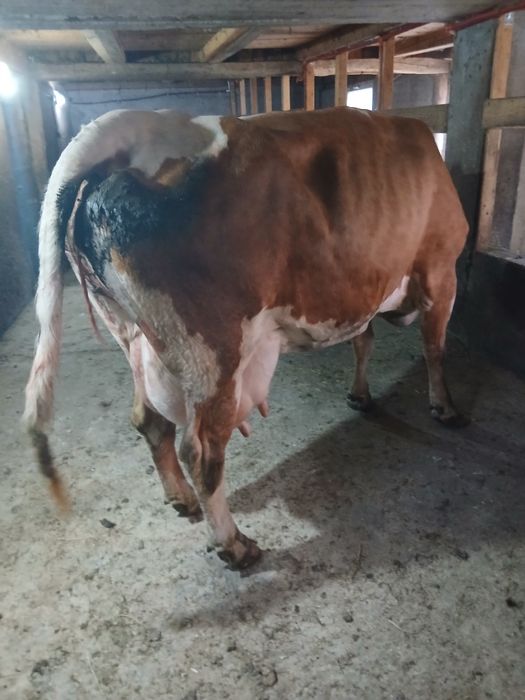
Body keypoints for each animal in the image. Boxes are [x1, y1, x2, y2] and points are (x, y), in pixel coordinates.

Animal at [24, 106, 469, 569]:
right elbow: (434, 347)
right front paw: (444, 406)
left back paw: (181, 497)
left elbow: (363, 341)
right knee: (201, 450)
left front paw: (361, 395)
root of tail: (146, 123)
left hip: (135, 339)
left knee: (150, 420)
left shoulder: (361, 290)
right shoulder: (442, 268)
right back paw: (234, 545)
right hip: (214, 352)